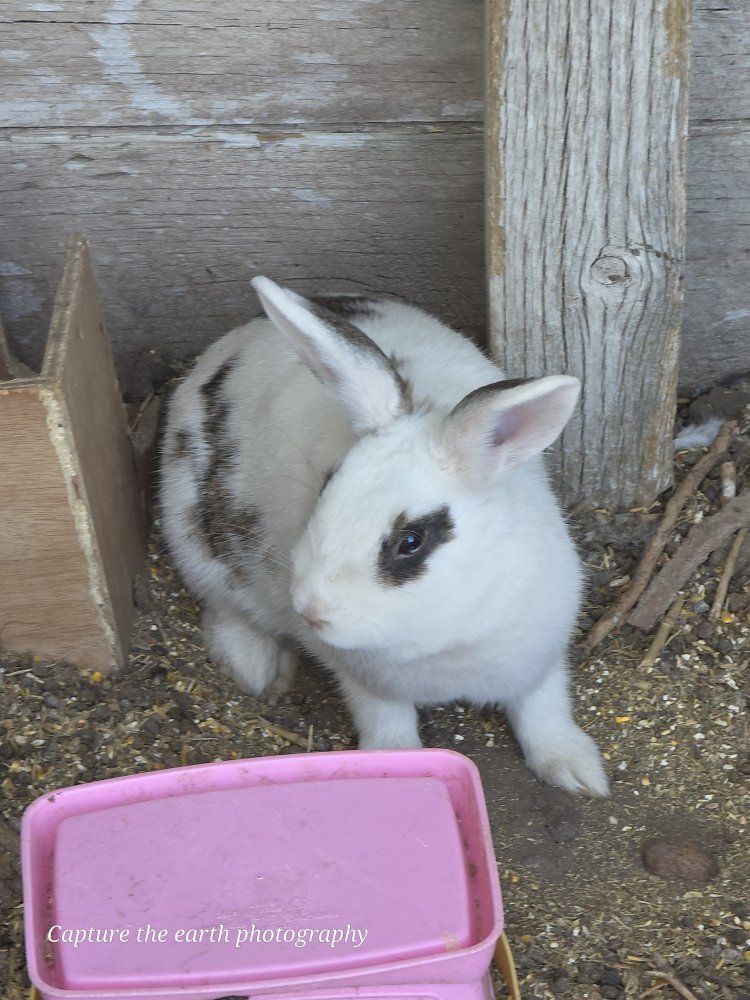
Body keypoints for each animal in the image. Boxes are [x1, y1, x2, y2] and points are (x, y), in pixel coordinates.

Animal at [160, 277, 609, 797]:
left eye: (410, 541)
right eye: (326, 486)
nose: (310, 610)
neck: (442, 637)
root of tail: (229, 344)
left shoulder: (539, 662)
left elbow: (545, 712)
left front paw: (579, 772)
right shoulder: (367, 684)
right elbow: (386, 724)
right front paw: (396, 762)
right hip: (194, 543)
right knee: (225, 609)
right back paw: (255, 667)